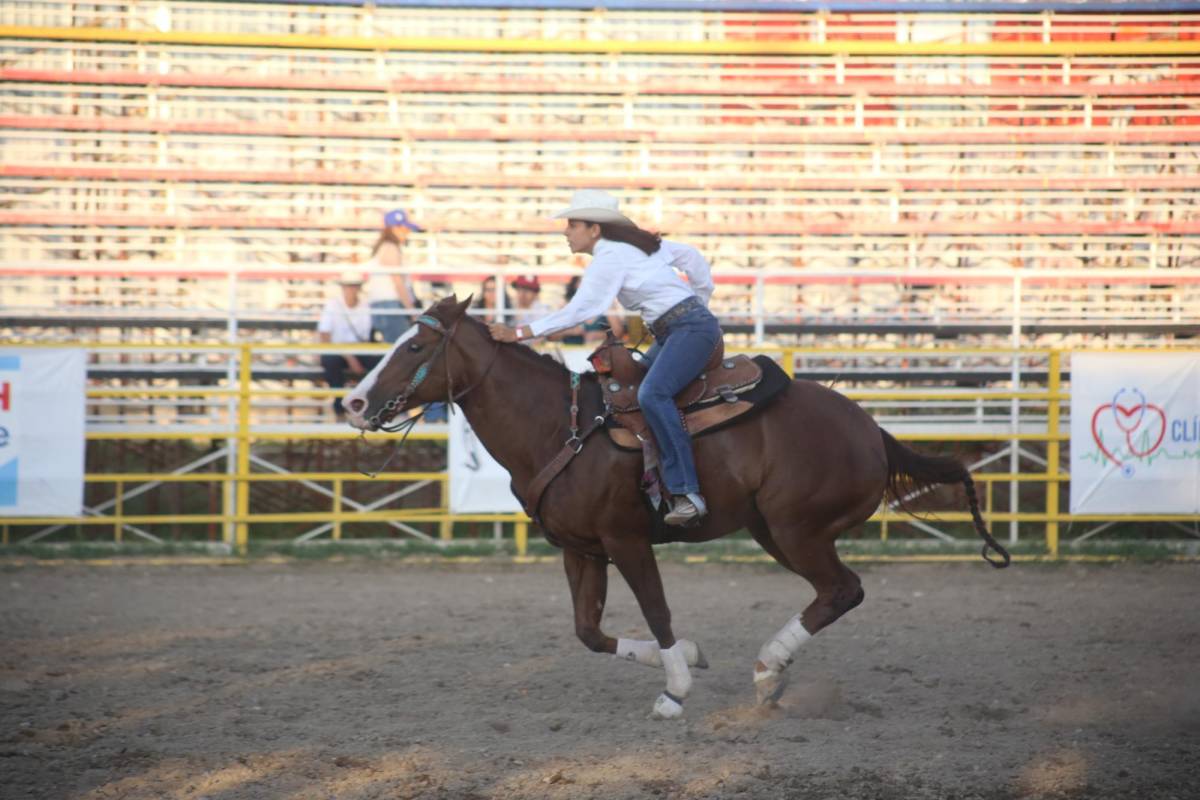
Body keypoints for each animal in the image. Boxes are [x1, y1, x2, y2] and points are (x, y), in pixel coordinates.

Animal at [343, 297, 1008, 724]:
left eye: (416, 344)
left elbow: (657, 610)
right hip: (773, 530)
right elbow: (589, 632)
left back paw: (767, 669)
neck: (559, 426)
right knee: (833, 592)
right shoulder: (581, 550)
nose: (352, 402)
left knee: (844, 590)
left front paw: (676, 690)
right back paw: (771, 675)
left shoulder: (627, 541)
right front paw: (689, 656)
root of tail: (873, 431)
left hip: (797, 529)